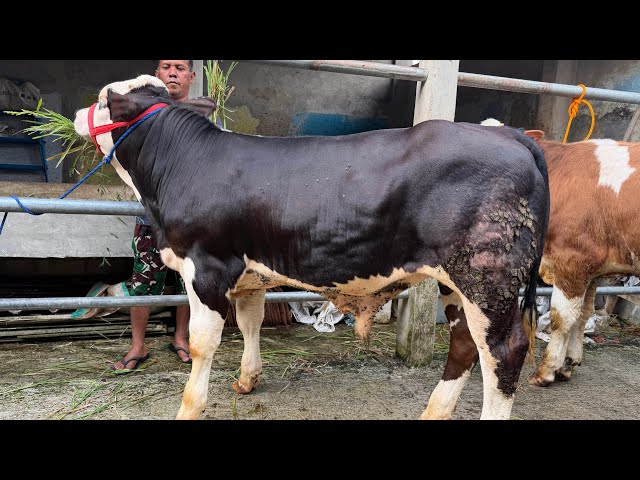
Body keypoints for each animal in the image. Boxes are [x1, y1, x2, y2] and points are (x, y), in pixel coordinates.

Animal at [73, 74, 549, 420]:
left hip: (488, 278)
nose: (76, 113)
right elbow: (250, 323)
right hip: (460, 282)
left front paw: (190, 406)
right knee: (465, 344)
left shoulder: (206, 266)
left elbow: (201, 344)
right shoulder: (251, 273)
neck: (182, 164)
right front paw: (247, 380)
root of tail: (510, 136)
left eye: (103, 98)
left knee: (503, 353)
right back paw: (433, 412)